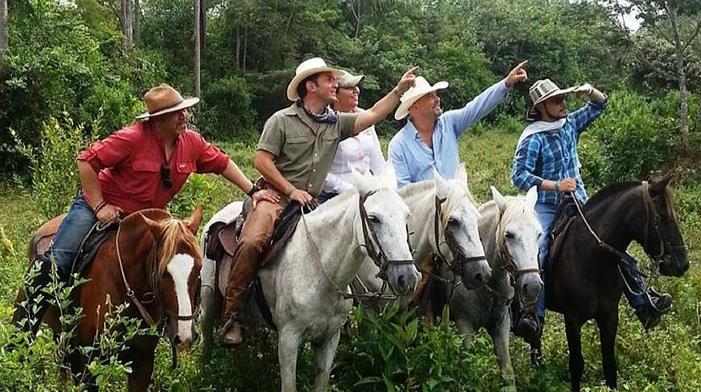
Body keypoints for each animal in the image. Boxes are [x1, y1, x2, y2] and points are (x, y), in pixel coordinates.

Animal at [198, 172, 416, 392]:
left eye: (406, 215)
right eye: (373, 218)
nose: (407, 278)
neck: (320, 271)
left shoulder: (330, 339)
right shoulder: (288, 340)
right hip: (209, 298)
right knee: (206, 334)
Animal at [448, 186, 540, 388]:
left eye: (539, 234)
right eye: (509, 235)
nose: (533, 286)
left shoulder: (501, 325)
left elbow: (508, 373)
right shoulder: (464, 325)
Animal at [536, 176, 688, 390]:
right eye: (662, 218)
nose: (683, 264)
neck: (592, 257)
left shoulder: (609, 316)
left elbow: (609, 364)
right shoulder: (572, 319)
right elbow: (576, 365)